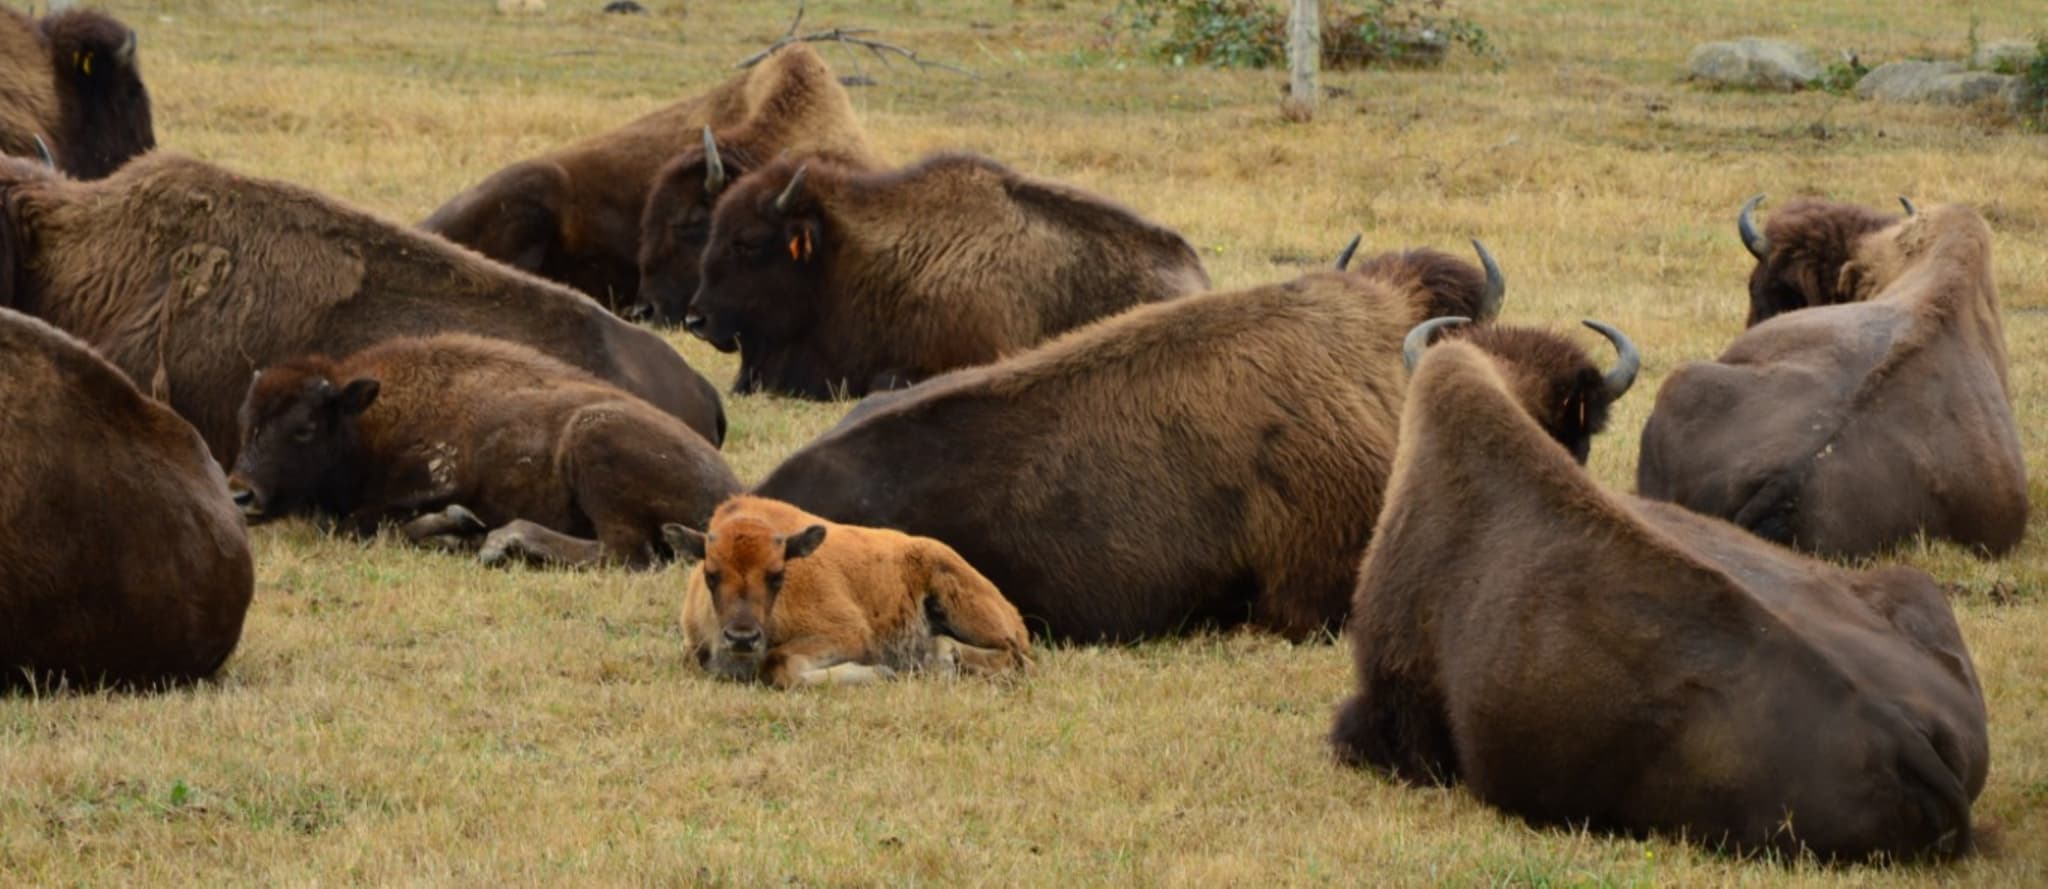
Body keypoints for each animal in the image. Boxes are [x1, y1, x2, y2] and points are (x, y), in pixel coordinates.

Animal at [229, 334, 739, 568]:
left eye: (305, 428)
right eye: (245, 422)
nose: (240, 494)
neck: (367, 421)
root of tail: (729, 490)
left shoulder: (432, 482)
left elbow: (359, 525)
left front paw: (458, 528)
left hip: (592, 443)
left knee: (622, 552)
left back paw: (502, 541)